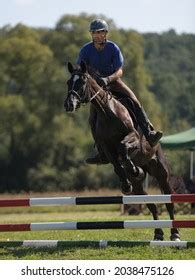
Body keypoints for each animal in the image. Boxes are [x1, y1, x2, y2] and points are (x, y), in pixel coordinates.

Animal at [64, 61, 181, 241]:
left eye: (82, 82)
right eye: (68, 82)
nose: (69, 105)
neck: (107, 111)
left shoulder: (133, 138)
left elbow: (123, 147)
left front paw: (133, 169)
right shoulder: (106, 148)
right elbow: (117, 165)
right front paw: (127, 182)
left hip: (161, 172)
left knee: (169, 202)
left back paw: (174, 234)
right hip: (139, 187)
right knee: (152, 204)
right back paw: (158, 234)